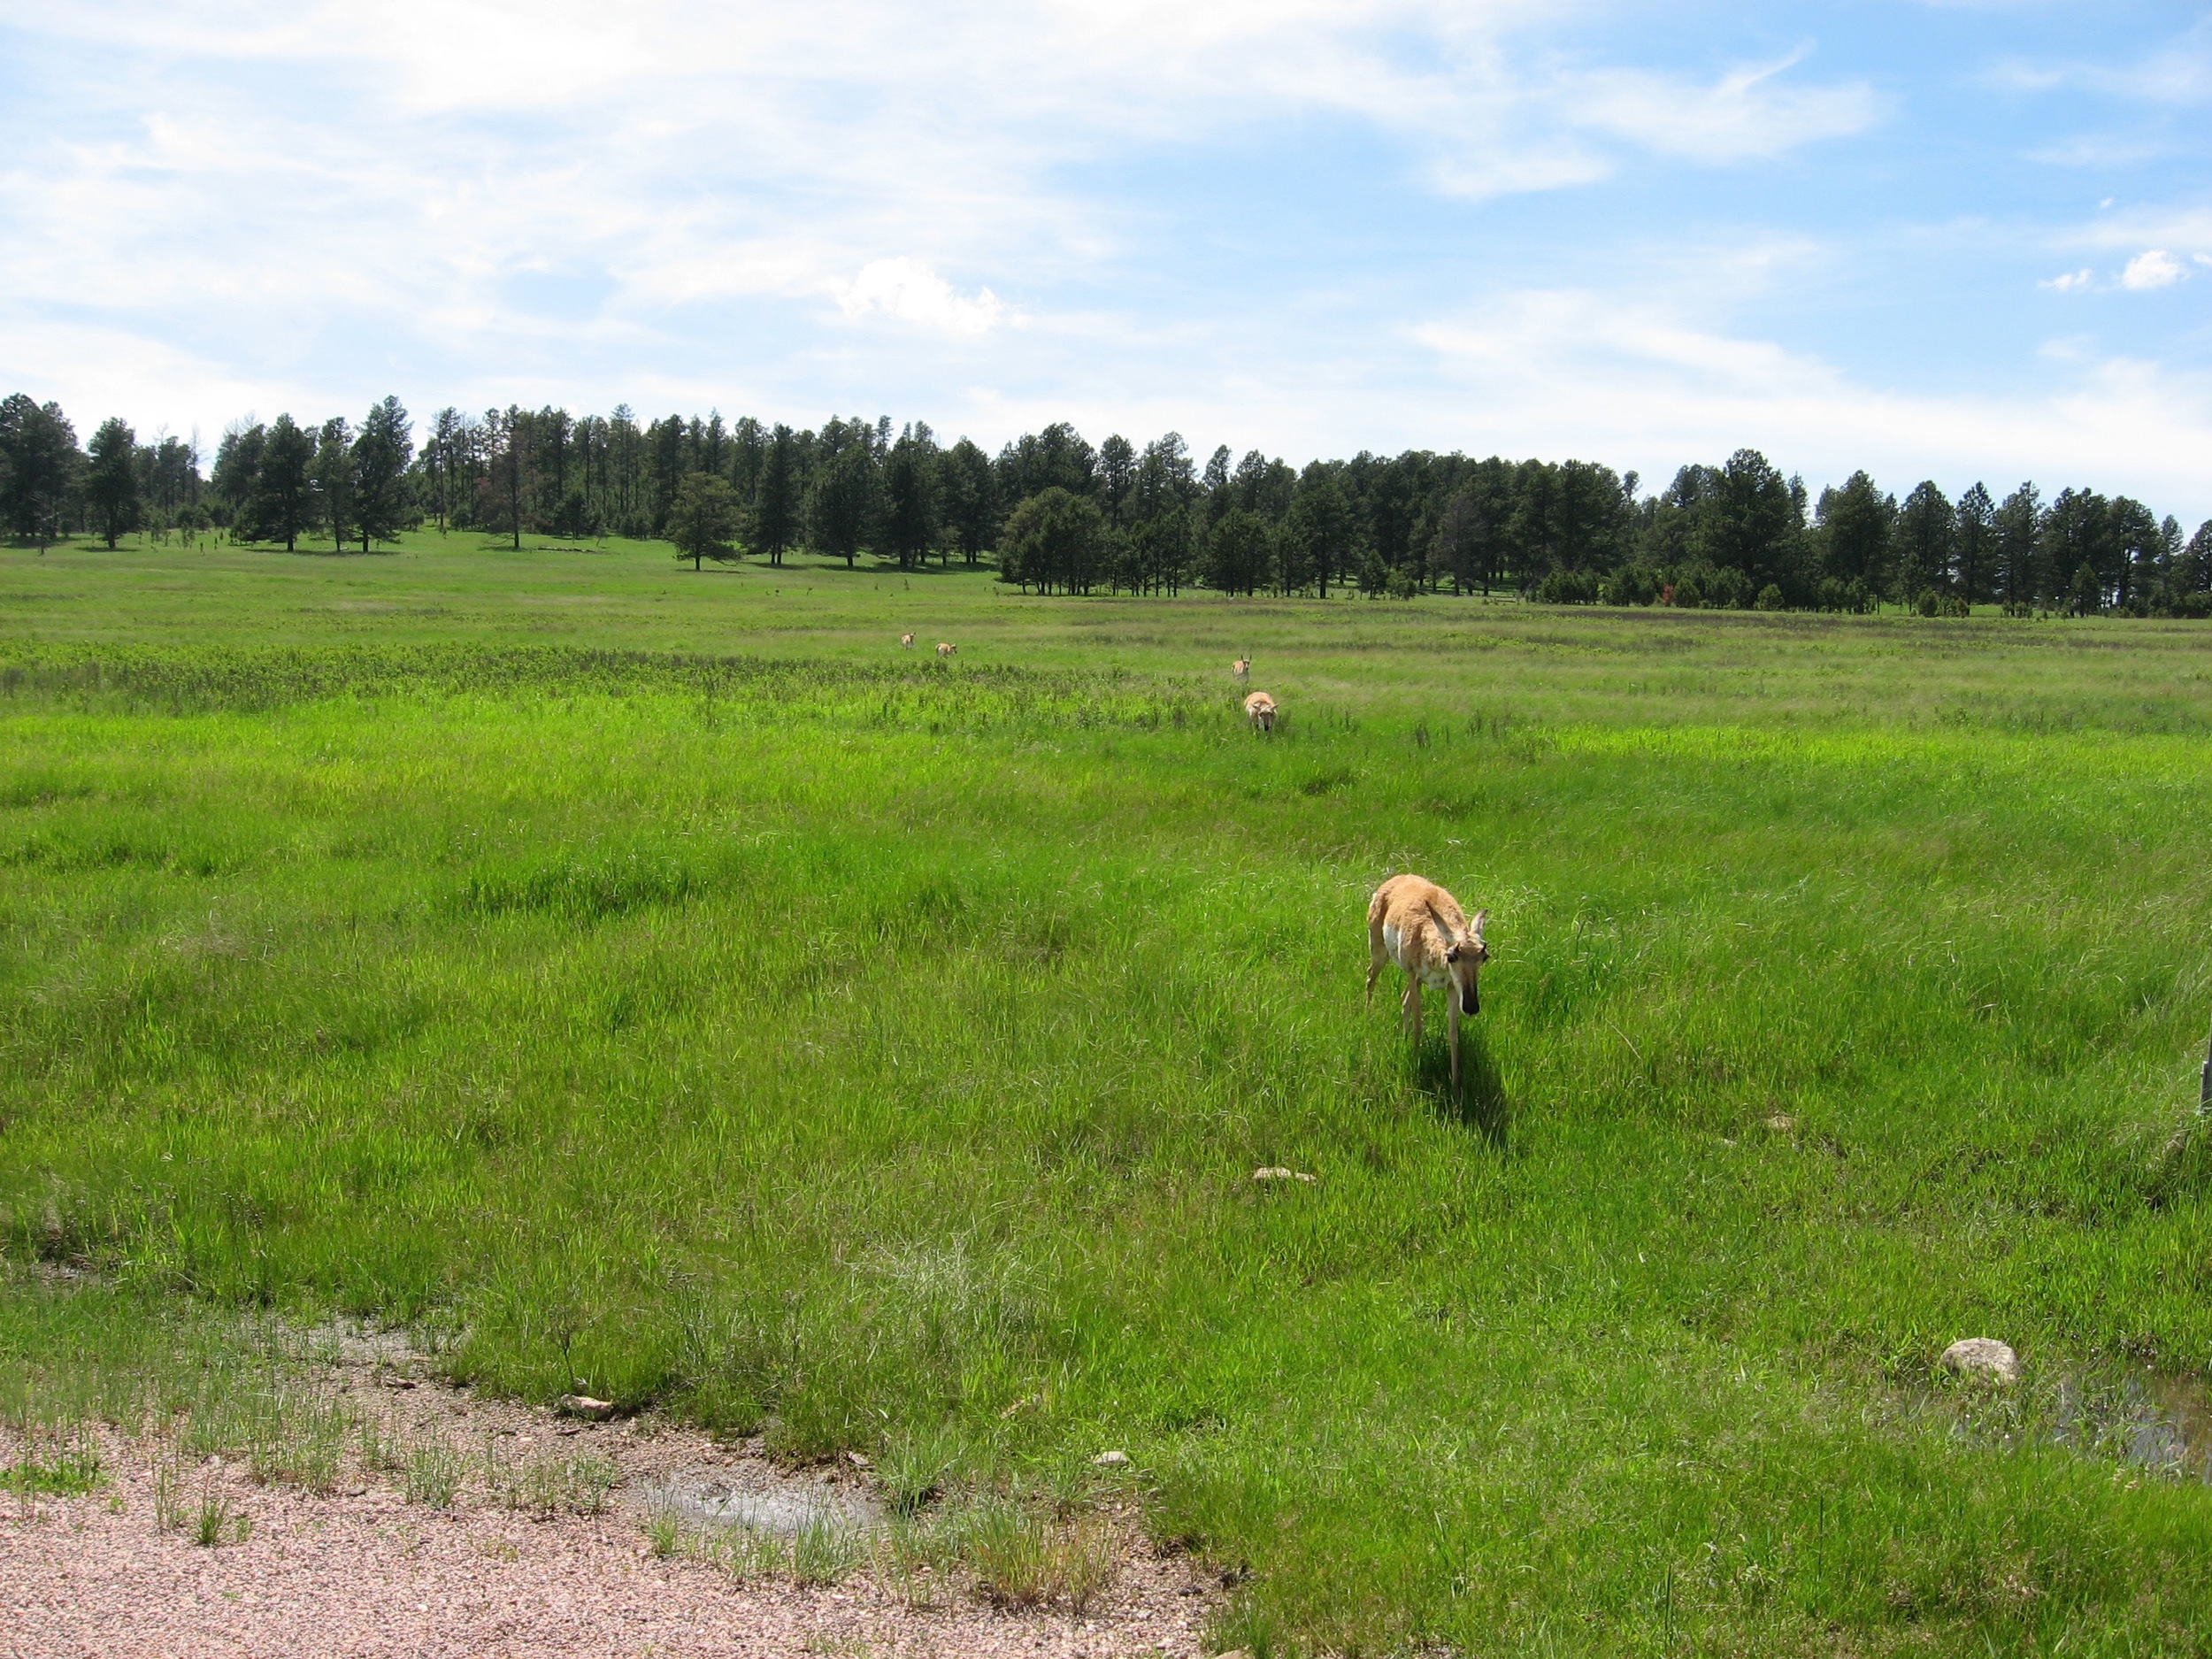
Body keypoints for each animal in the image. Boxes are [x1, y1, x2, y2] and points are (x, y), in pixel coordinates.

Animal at [1363, 876, 1486, 1097]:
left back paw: (1403, 1037)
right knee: (1370, 979)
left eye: (1484, 956)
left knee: (1403, 1000)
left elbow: (1453, 1033)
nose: (1471, 1007)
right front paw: (1416, 1063)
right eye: (1452, 956)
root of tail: (1396, 879)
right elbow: (1419, 1026)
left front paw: (1455, 1086)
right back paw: (1368, 1018)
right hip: (1380, 953)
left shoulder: (1452, 988)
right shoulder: (1413, 975)